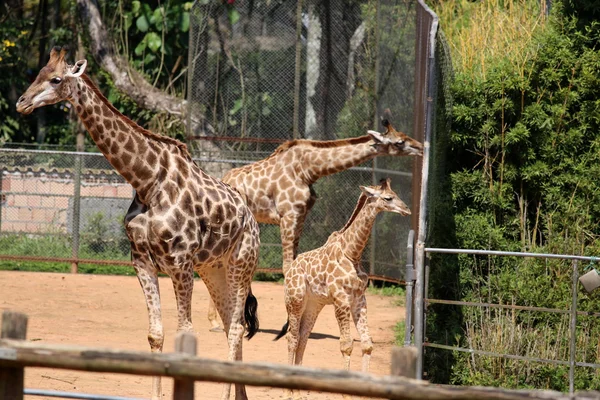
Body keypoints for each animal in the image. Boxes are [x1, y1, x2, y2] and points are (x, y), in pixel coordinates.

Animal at [15, 47, 260, 400]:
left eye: (56, 79)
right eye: (38, 73)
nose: (22, 102)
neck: (147, 181)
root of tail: (251, 218)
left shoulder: (180, 261)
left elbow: (184, 332)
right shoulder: (142, 260)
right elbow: (155, 334)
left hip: (241, 262)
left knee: (238, 326)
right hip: (213, 268)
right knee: (230, 324)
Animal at [274, 180, 410, 396]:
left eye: (395, 193)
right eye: (388, 198)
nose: (406, 210)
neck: (352, 252)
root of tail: (291, 269)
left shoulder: (359, 299)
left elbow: (367, 344)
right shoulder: (341, 299)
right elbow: (346, 345)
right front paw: (346, 390)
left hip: (314, 305)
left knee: (304, 336)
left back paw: (299, 389)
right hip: (295, 301)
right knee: (292, 337)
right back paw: (288, 392)